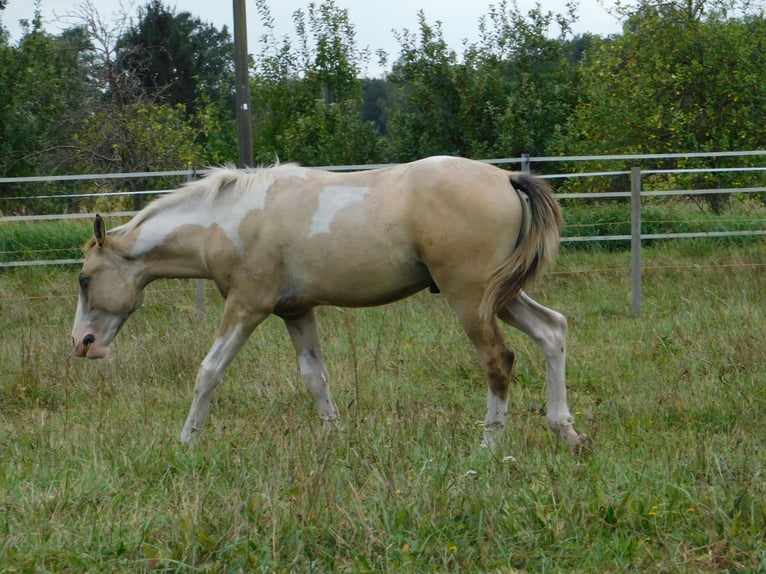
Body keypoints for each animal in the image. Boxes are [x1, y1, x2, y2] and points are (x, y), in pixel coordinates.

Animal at [70, 156, 588, 450]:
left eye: (84, 278)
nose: (82, 343)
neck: (229, 220)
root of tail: (507, 178)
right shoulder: (296, 312)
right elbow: (315, 378)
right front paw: (335, 437)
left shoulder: (247, 307)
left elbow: (209, 372)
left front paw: (186, 441)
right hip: (500, 296)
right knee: (553, 331)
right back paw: (564, 430)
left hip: (471, 299)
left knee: (499, 359)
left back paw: (489, 445)